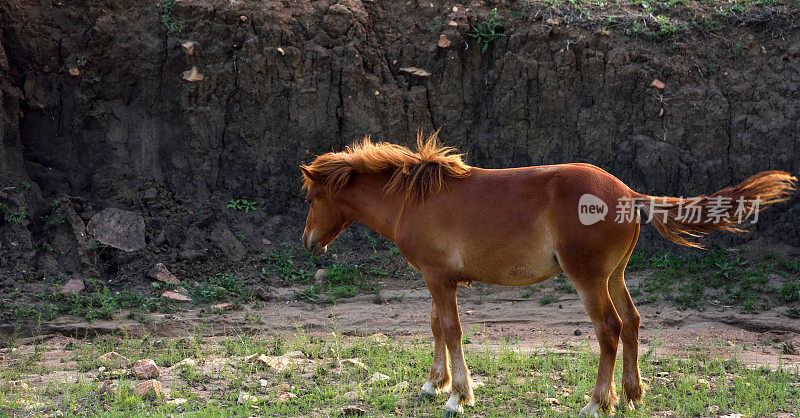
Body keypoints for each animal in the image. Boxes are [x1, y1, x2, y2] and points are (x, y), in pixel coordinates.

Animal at [298, 132, 792, 416]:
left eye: (311, 197)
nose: (309, 242)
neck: (413, 198)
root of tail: (629, 192)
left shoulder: (437, 278)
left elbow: (452, 330)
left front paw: (459, 395)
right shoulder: (436, 280)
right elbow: (436, 325)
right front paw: (433, 384)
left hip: (588, 279)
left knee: (609, 329)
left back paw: (598, 402)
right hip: (615, 275)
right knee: (632, 323)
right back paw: (632, 394)